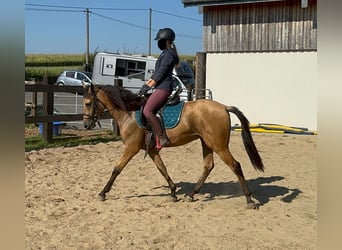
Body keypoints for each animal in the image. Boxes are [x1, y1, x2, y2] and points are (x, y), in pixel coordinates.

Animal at [81, 82, 264, 209]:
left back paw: (249, 199)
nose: (86, 125)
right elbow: (162, 168)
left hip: (219, 146)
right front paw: (173, 191)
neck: (129, 113)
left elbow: (117, 169)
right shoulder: (152, 149)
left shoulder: (131, 148)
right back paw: (191, 194)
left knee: (235, 165)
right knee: (208, 166)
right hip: (206, 142)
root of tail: (224, 107)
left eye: (88, 103)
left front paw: (103, 192)